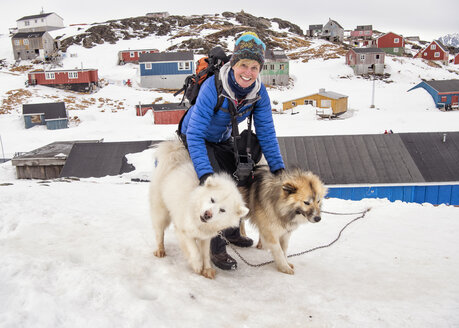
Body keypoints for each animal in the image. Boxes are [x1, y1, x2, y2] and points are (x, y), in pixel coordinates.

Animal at [150, 139, 250, 280]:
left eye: (222, 210)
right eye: (212, 200)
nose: (207, 214)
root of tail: (175, 158)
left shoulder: (206, 237)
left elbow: (205, 254)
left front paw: (207, 269)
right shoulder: (183, 231)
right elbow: (194, 251)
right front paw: (197, 265)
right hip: (161, 212)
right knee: (159, 232)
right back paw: (160, 250)